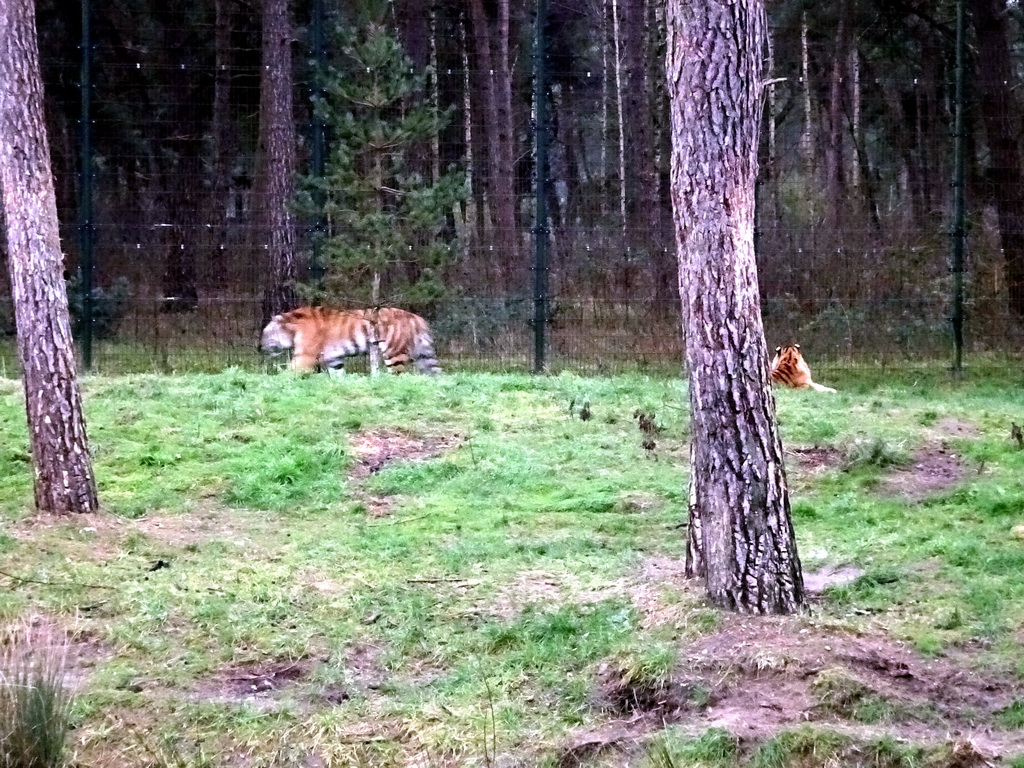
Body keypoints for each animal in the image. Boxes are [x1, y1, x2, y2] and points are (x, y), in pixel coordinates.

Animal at [260, 309, 440, 376]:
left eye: (265, 334)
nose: (259, 347)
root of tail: (416, 318)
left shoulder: (306, 355)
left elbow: (289, 371)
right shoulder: (334, 360)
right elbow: (338, 376)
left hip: (394, 353)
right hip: (424, 355)